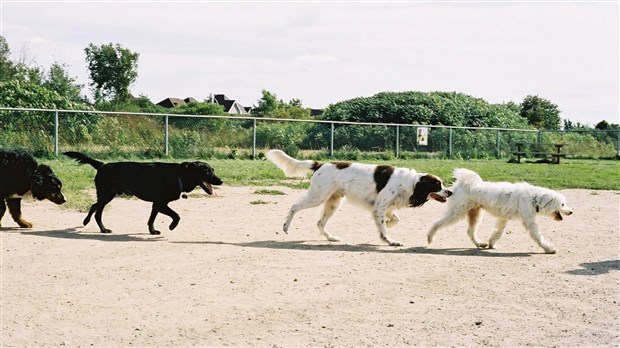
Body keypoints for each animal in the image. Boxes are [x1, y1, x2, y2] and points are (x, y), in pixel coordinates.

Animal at [63, 152, 222, 235]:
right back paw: (100, 227)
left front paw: (152, 231)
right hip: (106, 195)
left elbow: (151, 219)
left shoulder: (156, 205)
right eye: (206, 171)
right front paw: (172, 226)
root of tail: (102, 165)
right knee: (96, 210)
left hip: (108, 195)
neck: (178, 175)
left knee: (94, 206)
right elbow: (176, 215)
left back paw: (89, 223)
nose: (221, 180)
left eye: (213, 170)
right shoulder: (161, 203)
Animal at [266, 151, 450, 246]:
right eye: (438, 185)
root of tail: (320, 164)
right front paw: (389, 240)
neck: (411, 183)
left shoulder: (385, 207)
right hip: (318, 197)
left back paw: (331, 238)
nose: (449, 192)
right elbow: (385, 226)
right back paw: (285, 227)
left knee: (320, 222)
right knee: (294, 206)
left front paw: (387, 228)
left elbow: (394, 220)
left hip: (333, 202)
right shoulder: (380, 206)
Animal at [428, 168, 572, 253]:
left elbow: (498, 232)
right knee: (437, 223)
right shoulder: (529, 221)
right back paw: (430, 238)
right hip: (457, 213)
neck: (534, 198)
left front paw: (491, 243)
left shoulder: (503, 219)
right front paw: (549, 248)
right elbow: (538, 236)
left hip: (475, 213)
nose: (571, 212)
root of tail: (463, 184)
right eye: (563, 204)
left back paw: (480, 244)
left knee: (470, 232)